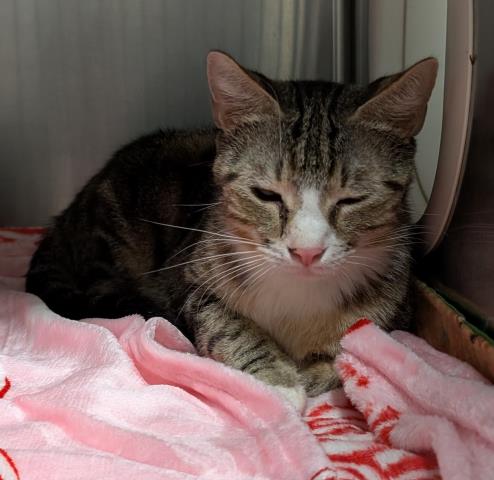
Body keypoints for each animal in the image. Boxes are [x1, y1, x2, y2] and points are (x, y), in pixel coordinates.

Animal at [26, 51, 437, 410]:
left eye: (353, 199)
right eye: (265, 194)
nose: (306, 251)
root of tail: (67, 215)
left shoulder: (393, 312)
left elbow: (359, 352)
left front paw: (317, 373)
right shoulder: (192, 280)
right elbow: (227, 325)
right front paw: (277, 381)